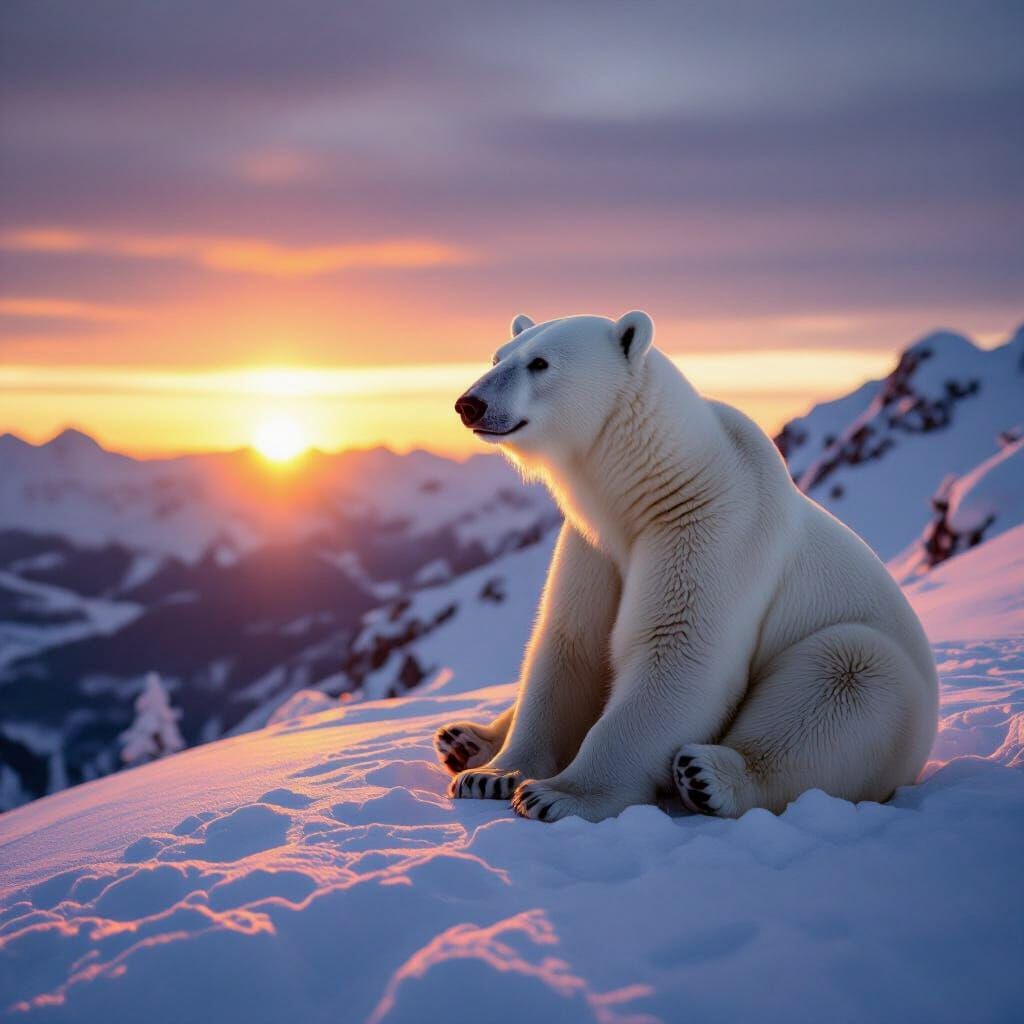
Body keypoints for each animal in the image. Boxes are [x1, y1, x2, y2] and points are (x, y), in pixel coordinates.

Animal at [437, 311, 938, 822]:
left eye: (540, 363)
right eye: (497, 357)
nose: (469, 404)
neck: (661, 481)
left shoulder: (713, 527)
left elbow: (677, 648)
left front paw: (554, 794)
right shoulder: (593, 544)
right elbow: (568, 644)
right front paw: (492, 776)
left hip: (877, 685)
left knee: (846, 673)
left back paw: (707, 775)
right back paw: (465, 740)